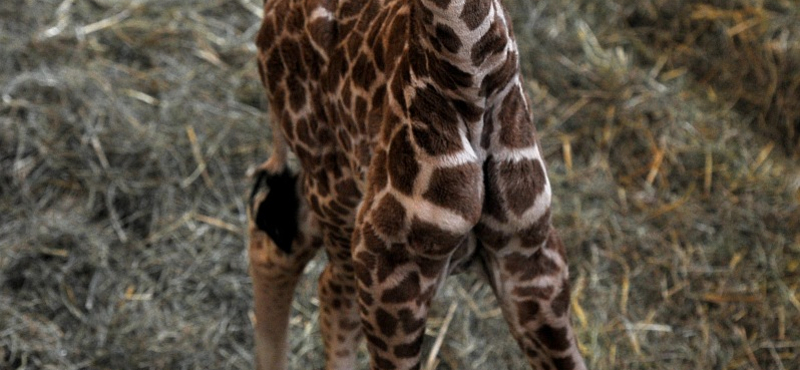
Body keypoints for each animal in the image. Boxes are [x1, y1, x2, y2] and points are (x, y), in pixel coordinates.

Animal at [245, 0, 588, 368]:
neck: (472, 77)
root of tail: (270, 16)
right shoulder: (389, 272)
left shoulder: (532, 259)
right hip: (335, 191)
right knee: (330, 288)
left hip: (333, 191)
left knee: (281, 242)